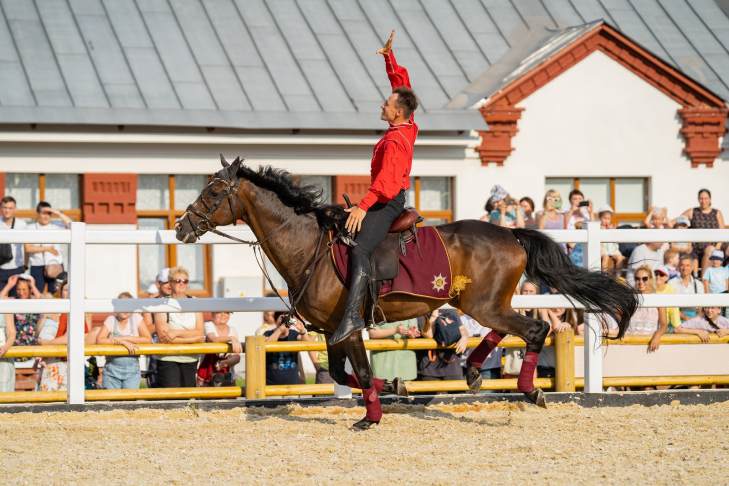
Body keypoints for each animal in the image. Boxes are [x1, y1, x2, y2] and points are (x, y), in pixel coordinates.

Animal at [176, 157, 636, 430]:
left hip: (483, 304)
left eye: (214, 191)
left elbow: (360, 373)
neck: (310, 247)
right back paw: (474, 370)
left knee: (535, 330)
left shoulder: (348, 327)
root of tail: (510, 233)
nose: (181, 227)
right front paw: (398, 385)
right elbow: (342, 374)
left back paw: (529, 389)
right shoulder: (331, 331)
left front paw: (371, 417)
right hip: (479, 303)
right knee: (513, 329)